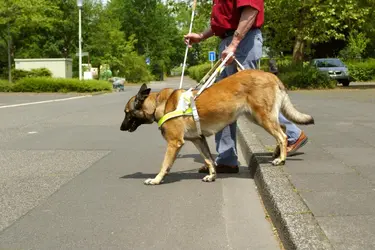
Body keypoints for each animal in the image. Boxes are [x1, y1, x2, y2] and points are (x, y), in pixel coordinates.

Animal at [120, 69, 314, 185]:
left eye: (127, 112)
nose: (121, 128)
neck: (159, 103)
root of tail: (271, 75)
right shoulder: (199, 140)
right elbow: (208, 159)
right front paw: (212, 174)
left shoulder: (174, 143)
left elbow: (165, 164)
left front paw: (156, 179)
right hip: (259, 117)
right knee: (283, 129)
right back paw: (278, 152)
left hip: (263, 118)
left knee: (282, 135)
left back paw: (281, 159)